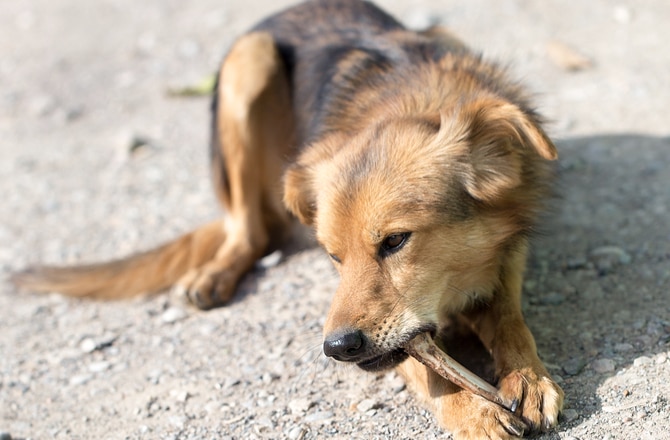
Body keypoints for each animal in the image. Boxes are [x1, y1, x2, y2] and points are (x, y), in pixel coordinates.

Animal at [11, 1, 568, 438]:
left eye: (395, 241)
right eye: (333, 256)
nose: (337, 348)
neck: (411, 99)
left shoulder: (508, 248)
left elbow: (509, 315)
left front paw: (527, 376)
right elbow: (420, 365)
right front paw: (474, 412)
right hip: (247, 62)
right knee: (248, 229)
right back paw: (216, 272)